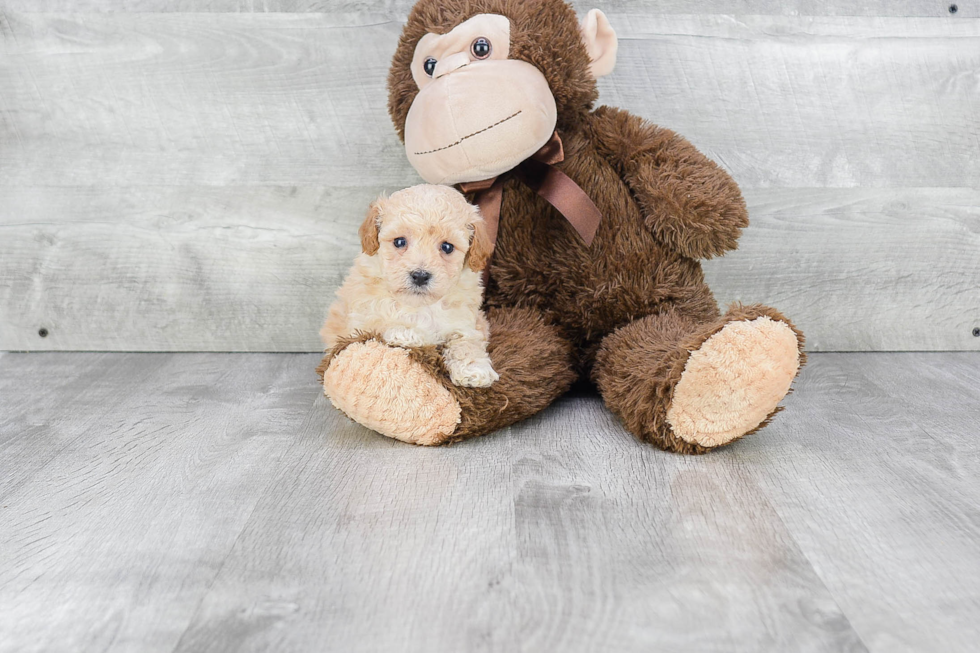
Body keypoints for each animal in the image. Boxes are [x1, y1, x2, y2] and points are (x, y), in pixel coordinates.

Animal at [324, 183, 498, 388]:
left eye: (447, 247)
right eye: (400, 241)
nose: (420, 276)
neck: (420, 305)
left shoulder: (467, 320)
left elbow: (468, 341)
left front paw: (474, 369)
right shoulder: (361, 317)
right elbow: (382, 321)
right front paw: (408, 332)